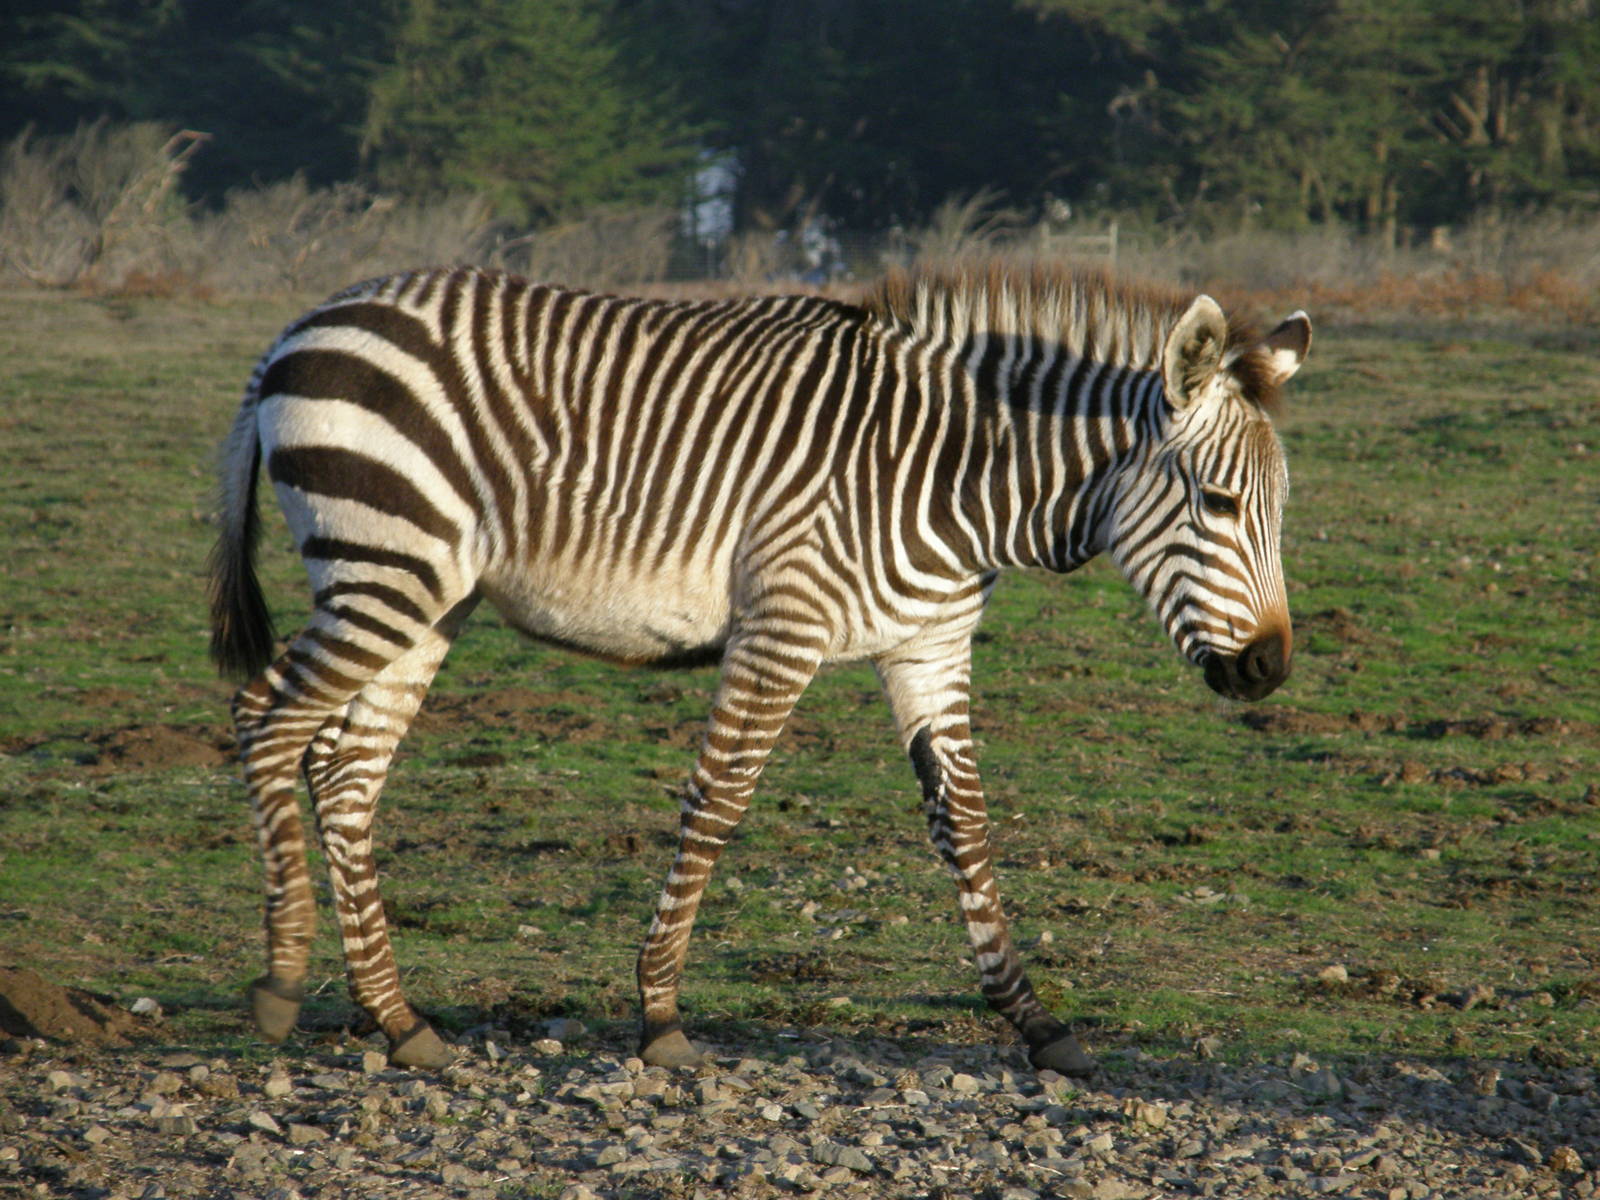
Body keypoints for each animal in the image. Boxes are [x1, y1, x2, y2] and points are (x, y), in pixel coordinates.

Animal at [209, 260, 1310, 1074]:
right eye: (1219, 503)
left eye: (1278, 509)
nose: (1267, 669)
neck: (955, 477)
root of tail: (300, 327)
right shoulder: (783, 623)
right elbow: (720, 799)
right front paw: (658, 1015)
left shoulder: (929, 645)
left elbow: (964, 823)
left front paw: (1036, 1023)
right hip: (385, 566)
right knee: (267, 719)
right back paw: (280, 984)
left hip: (432, 597)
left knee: (344, 770)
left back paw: (397, 1020)